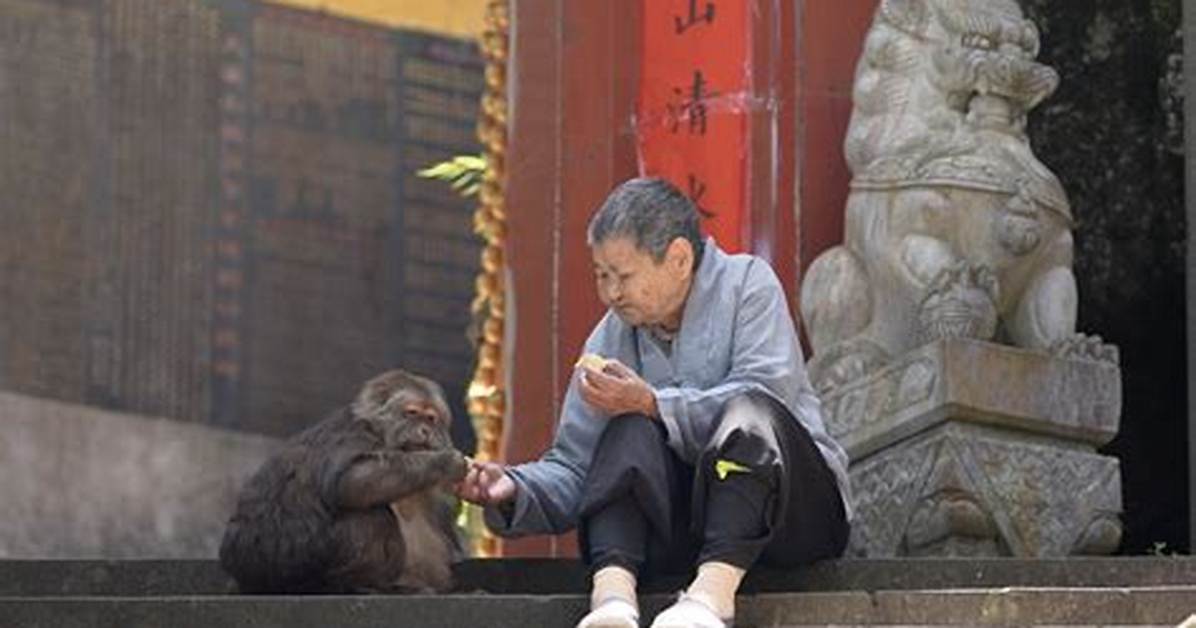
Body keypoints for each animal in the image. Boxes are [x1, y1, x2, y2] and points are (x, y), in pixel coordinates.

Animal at [219, 369, 469, 594]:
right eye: (412, 413)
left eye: (431, 418)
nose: (425, 430)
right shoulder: (354, 433)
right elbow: (350, 481)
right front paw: (444, 462)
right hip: (283, 566)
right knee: (370, 514)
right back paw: (356, 585)